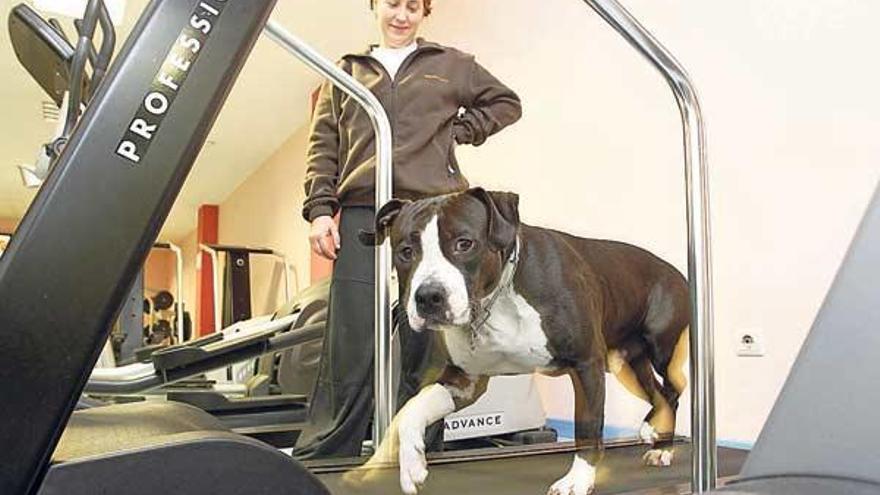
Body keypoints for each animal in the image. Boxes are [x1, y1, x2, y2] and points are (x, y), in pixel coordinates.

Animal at [356, 189, 688, 495]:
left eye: (464, 243)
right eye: (405, 251)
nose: (428, 297)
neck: (499, 295)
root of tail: (672, 269)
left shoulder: (585, 364)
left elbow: (587, 424)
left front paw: (579, 479)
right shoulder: (463, 381)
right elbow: (412, 410)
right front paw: (411, 463)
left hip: (661, 349)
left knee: (673, 389)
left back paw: (662, 446)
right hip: (625, 365)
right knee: (659, 394)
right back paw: (655, 436)